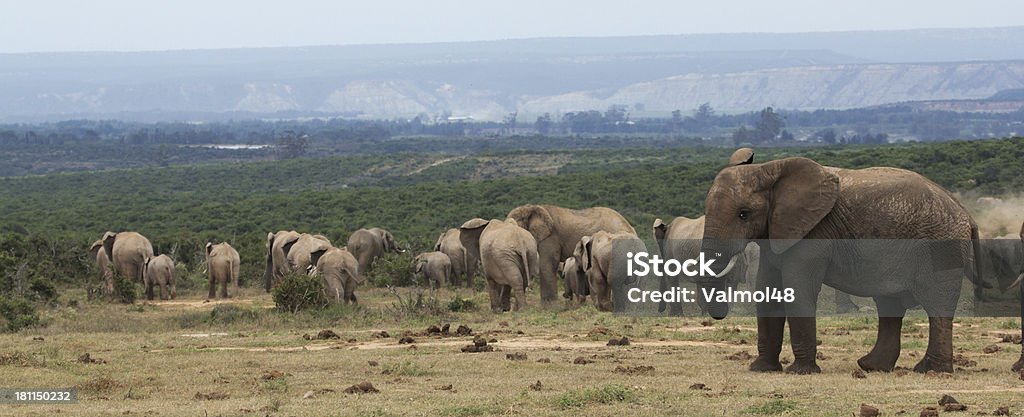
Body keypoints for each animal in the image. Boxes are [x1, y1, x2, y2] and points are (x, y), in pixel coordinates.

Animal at [700, 153, 978, 374]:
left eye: (743, 214)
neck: (770, 168)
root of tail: (965, 212)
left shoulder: (814, 233)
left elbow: (798, 290)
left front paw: (801, 372)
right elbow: (769, 292)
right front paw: (761, 369)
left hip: (940, 247)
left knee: (936, 305)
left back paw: (931, 371)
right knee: (890, 305)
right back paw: (872, 366)